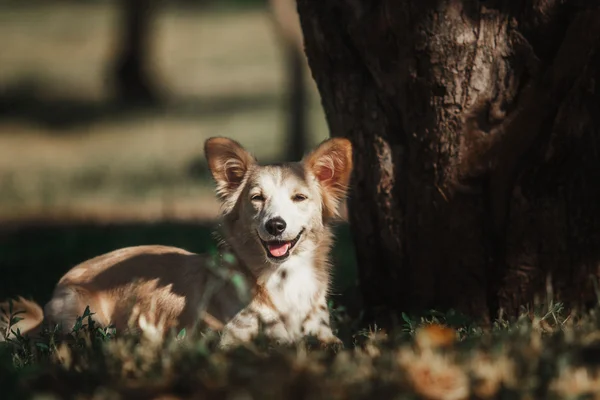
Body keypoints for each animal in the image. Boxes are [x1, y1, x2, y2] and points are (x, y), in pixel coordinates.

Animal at [0, 136, 354, 348]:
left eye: (299, 198)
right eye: (257, 198)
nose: (275, 225)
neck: (281, 276)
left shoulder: (323, 331)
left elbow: (333, 344)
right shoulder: (231, 339)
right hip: (84, 320)